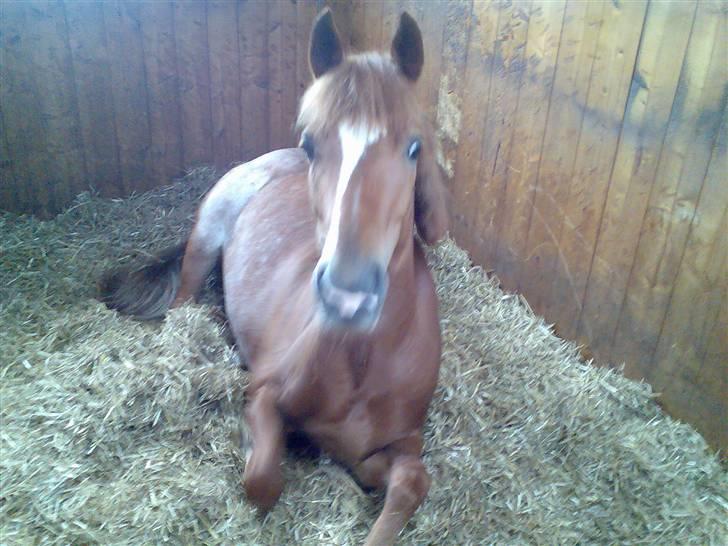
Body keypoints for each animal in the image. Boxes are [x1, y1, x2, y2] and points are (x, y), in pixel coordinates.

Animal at [100, 9, 448, 545]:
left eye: (414, 147)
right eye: (311, 143)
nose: (347, 298)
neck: (362, 363)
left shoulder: (398, 444)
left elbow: (410, 482)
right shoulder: (262, 394)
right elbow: (262, 480)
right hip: (206, 238)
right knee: (181, 305)